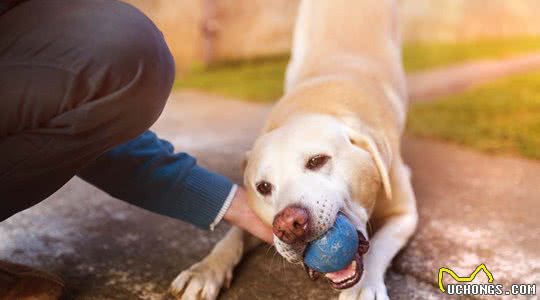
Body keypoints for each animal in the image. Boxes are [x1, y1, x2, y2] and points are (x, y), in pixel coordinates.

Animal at [172, 0, 418, 298]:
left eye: (317, 160)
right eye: (263, 187)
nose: (288, 225)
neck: (316, 102)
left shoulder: (405, 214)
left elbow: (380, 246)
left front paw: (364, 286)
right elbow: (233, 235)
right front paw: (205, 270)